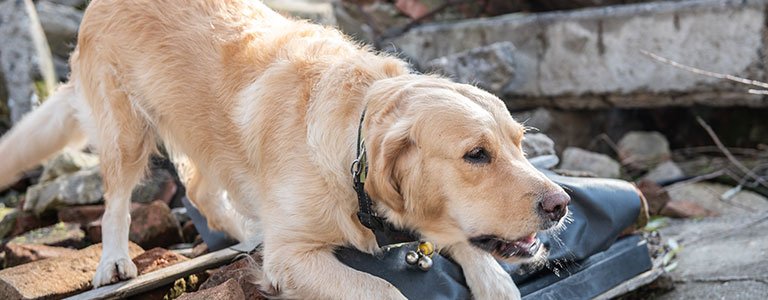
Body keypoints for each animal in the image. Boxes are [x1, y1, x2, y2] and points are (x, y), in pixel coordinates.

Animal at [0, 0, 568, 298]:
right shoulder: (293, 257)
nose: (561, 205)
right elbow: (384, 289)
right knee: (116, 200)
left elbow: (463, 242)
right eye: (476, 155)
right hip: (127, 130)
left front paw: (493, 278)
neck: (353, 146)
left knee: (203, 192)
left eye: (519, 144)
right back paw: (115, 261)